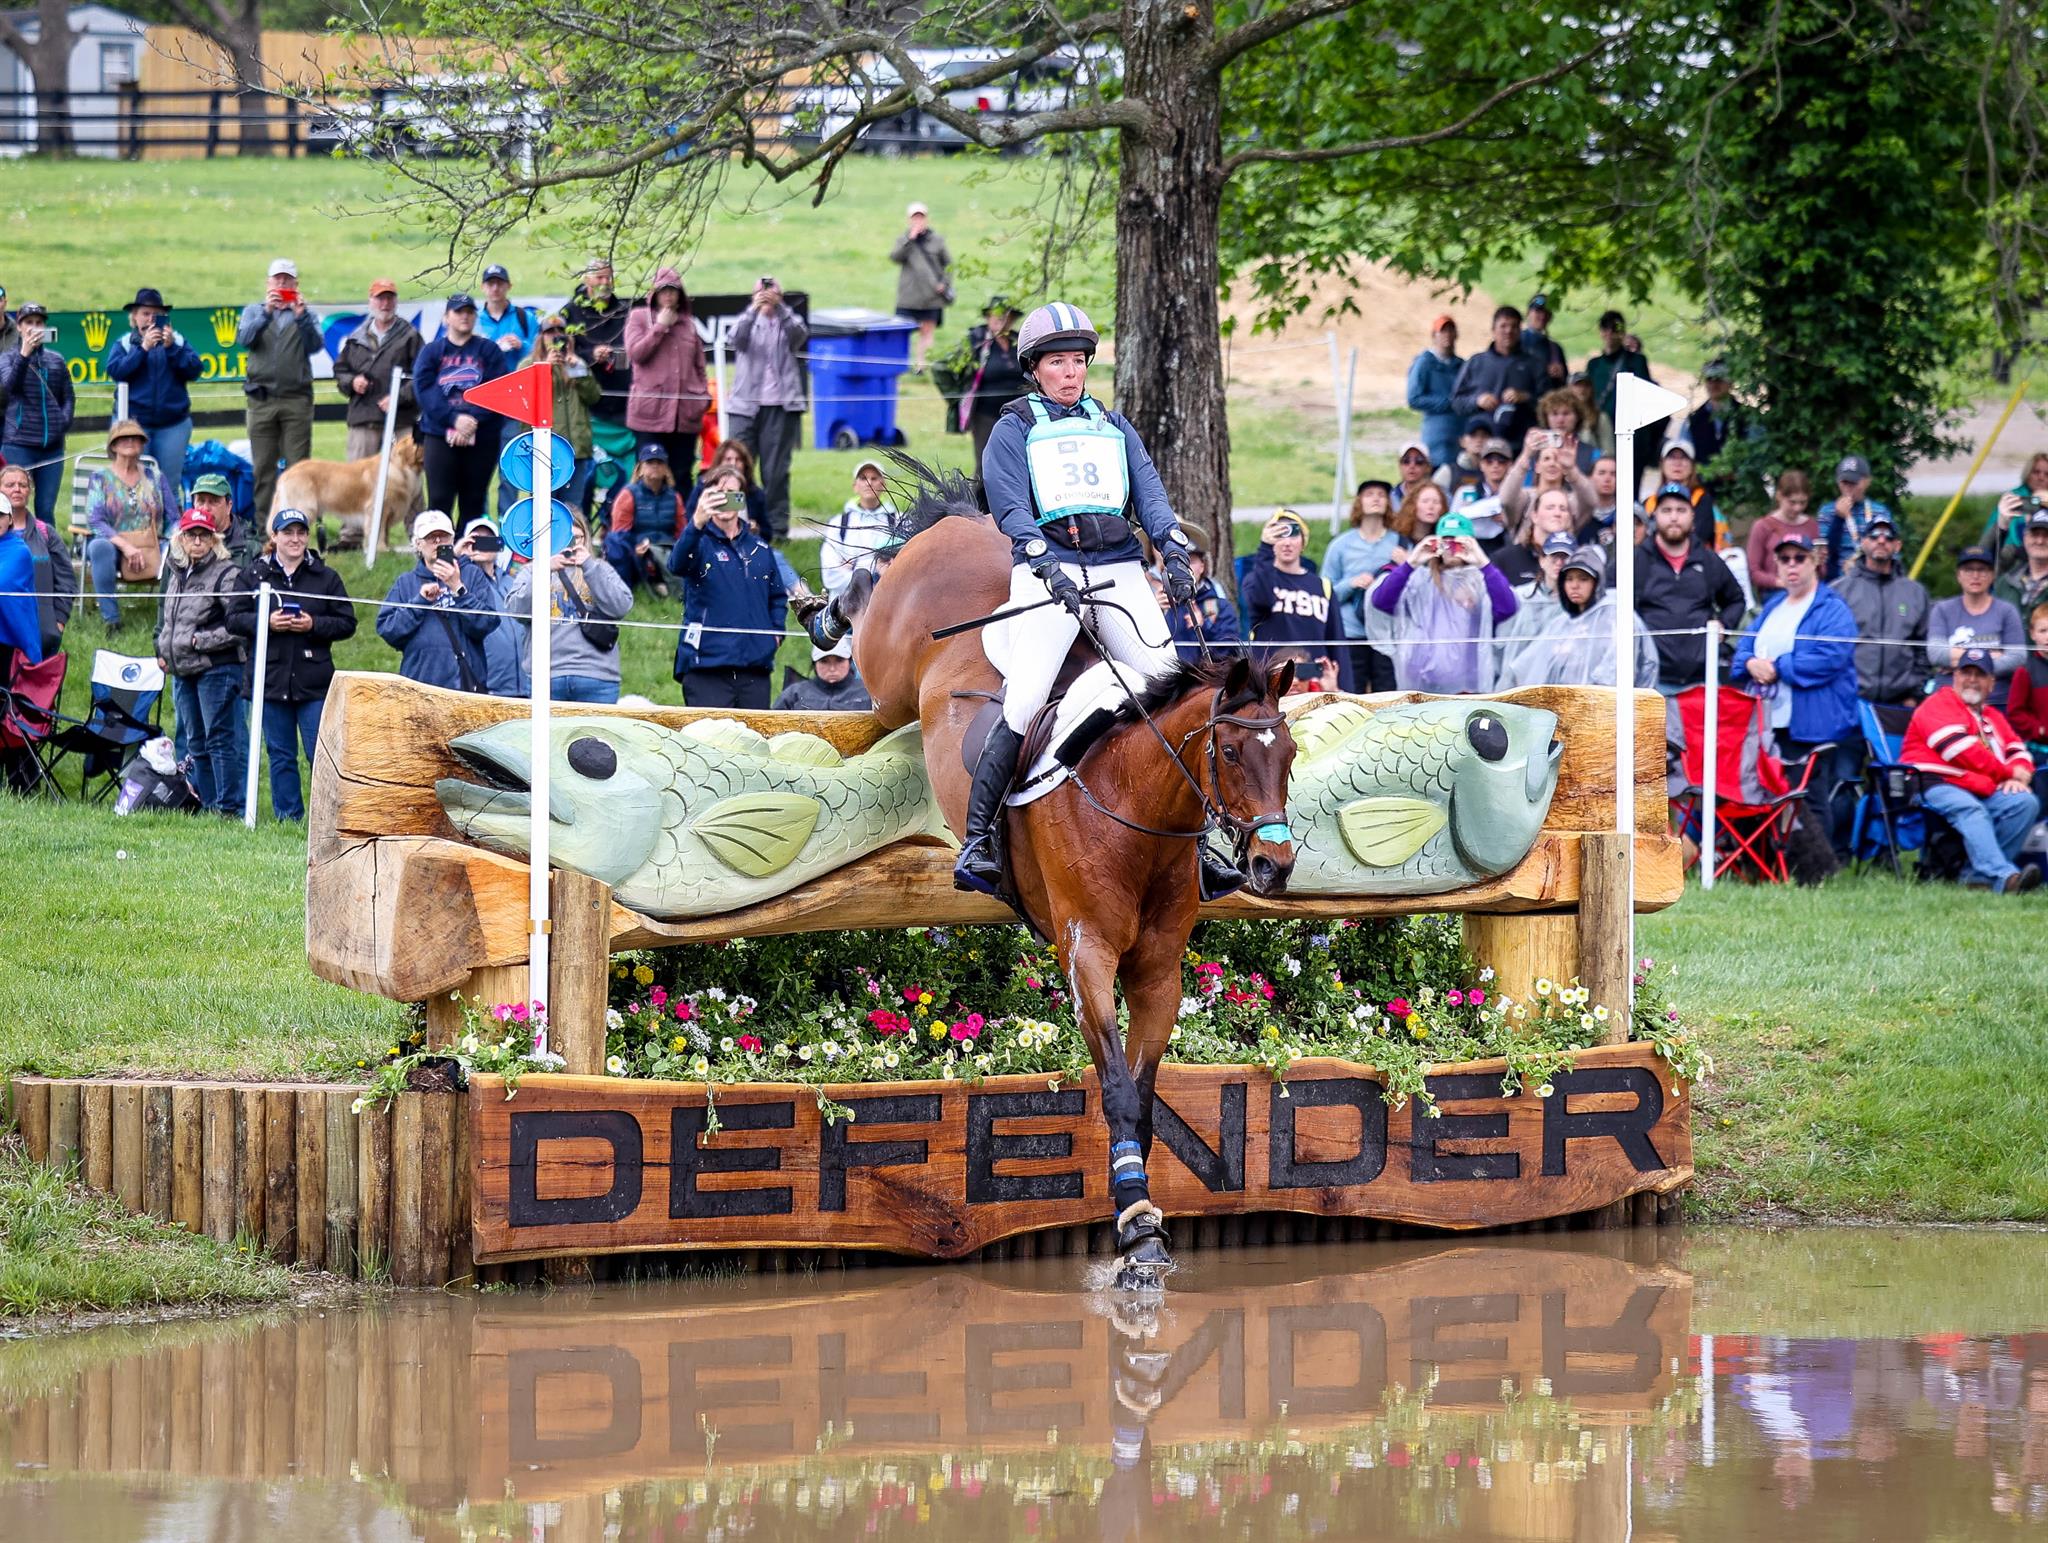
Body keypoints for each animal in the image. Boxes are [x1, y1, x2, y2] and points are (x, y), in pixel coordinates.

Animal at [270, 434, 425, 549]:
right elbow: (378, 532)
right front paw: (382, 550)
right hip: (303, 507)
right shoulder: (378, 509)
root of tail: (287, 473)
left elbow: (384, 532)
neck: (400, 468)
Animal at [831, 473, 1294, 1286]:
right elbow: (1115, 1086)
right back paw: (828, 599)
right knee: (863, 610)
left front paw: (1136, 1203)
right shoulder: (1088, 955)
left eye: (1291, 753)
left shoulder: (1159, 971)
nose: (1275, 864)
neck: (1137, 806)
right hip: (886, 674)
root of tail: (959, 525)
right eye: (1233, 753)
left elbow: (1144, 1091)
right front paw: (1137, 1224)